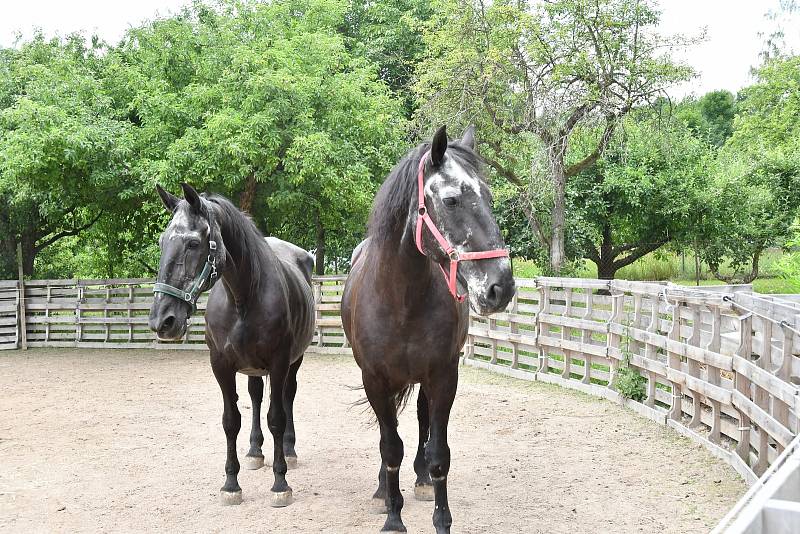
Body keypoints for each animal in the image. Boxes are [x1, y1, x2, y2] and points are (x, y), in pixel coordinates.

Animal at [150, 186, 316, 508]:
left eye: (193, 243)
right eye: (163, 242)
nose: (162, 321)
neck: (243, 296)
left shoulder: (279, 363)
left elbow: (276, 418)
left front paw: (280, 483)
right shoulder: (221, 366)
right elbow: (231, 421)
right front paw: (231, 484)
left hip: (294, 361)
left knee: (287, 397)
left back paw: (289, 450)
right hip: (253, 368)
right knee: (256, 396)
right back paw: (254, 451)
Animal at [340, 127, 516, 532]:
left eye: (489, 197)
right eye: (451, 200)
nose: (502, 286)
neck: (401, 301)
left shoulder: (443, 376)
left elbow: (438, 452)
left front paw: (441, 518)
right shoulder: (375, 379)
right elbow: (390, 446)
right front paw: (393, 515)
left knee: (421, 419)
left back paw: (419, 480)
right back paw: (382, 489)